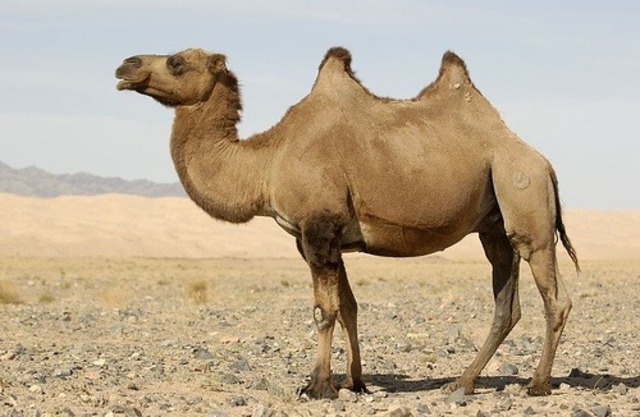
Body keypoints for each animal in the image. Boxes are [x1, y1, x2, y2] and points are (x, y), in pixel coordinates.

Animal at [115, 46, 579, 399]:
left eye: (177, 62)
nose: (124, 66)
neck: (267, 161)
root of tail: (542, 161)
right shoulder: (318, 239)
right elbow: (348, 308)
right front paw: (354, 382)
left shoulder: (319, 228)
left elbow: (325, 310)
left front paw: (317, 385)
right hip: (493, 223)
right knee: (506, 302)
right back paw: (461, 382)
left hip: (523, 194)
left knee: (553, 295)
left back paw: (537, 385)